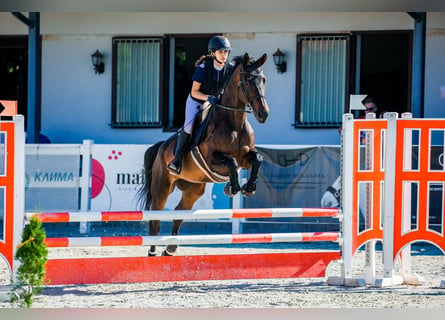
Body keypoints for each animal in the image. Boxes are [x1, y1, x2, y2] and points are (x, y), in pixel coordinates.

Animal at [137, 53, 268, 258]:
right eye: (247, 79)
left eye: (263, 80)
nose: (264, 114)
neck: (234, 122)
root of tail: (161, 147)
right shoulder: (213, 160)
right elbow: (231, 161)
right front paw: (232, 188)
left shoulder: (245, 158)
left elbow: (257, 159)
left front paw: (249, 187)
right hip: (162, 186)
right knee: (155, 219)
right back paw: (152, 251)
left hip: (193, 188)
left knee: (178, 213)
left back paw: (170, 249)